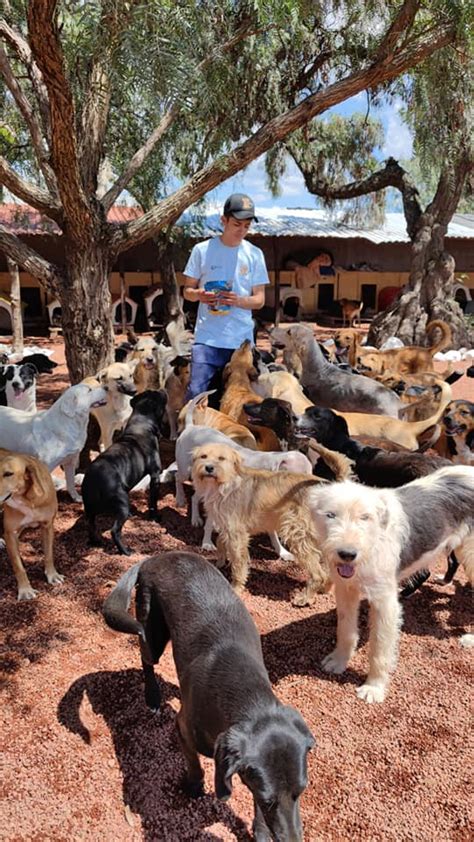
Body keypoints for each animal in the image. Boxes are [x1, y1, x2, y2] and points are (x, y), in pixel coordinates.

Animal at [0, 446, 61, 596]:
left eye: (8, 474)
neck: (27, 499)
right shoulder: (10, 533)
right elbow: (18, 566)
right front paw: (25, 590)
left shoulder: (47, 526)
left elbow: (49, 555)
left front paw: (52, 575)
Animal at [82, 390, 168, 556]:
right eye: (158, 396)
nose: (162, 390)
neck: (141, 424)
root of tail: (95, 479)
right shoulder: (155, 476)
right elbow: (153, 501)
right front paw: (155, 517)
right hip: (121, 503)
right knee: (114, 531)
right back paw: (125, 550)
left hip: (90, 508)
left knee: (91, 524)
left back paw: (95, 541)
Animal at [103, 552, 314, 840]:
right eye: (269, 800)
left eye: (300, 792)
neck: (249, 698)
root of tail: (157, 557)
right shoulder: (183, 728)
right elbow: (194, 764)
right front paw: (195, 787)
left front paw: (259, 831)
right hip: (150, 631)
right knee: (146, 659)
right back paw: (152, 697)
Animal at [191, 440, 332, 604]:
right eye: (203, 456)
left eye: (221, 458)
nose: (209, 468)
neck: (226, 483)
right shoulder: (227, 526)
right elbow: (220, 541)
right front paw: (220, 560)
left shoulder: (236, 532)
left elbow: (238, 561)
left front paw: (236, 587)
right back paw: (325, 588)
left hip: (297, 534)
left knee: (318, 573)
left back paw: (305, 597)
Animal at [308, 466, 474, 704]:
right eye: (331, 515)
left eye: (365, 517)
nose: (347, 554)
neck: (372, 542)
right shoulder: (346, 590)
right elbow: (345, 630)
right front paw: (339, 661)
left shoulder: (385, 603)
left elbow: (379, 648)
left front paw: (374, 688)